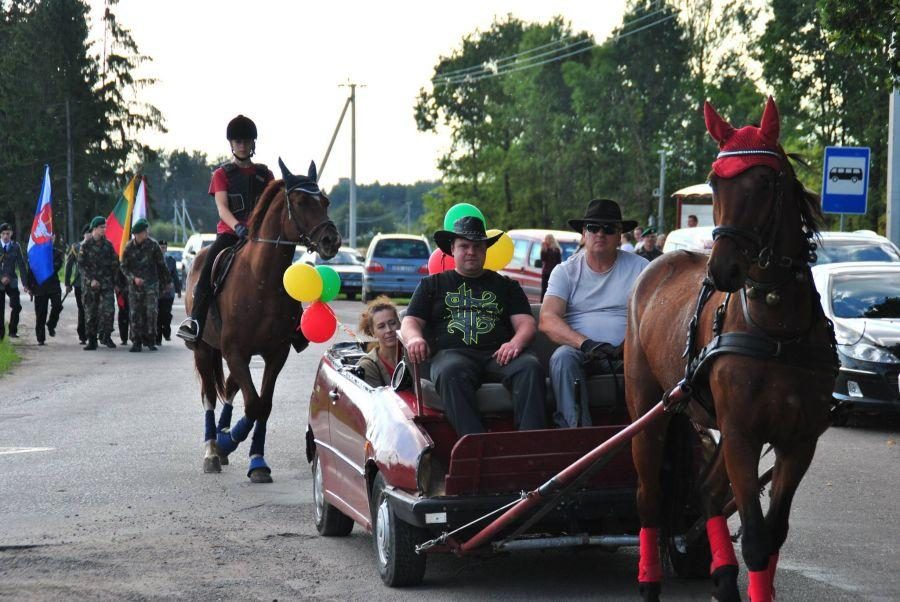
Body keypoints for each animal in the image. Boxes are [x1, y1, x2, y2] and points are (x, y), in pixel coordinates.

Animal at [185, 159, 340, 482]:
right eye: (301, 201)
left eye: (325, 201)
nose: (332, 240)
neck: (261, 279)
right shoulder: (235, 351)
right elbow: (254, 404)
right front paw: (227, 444)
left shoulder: (274, 353)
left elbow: (262, 405)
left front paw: (255, 460)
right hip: (205, 350)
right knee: (209, 395)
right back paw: (212, 450)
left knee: (230, 388)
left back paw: (223, 437)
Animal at [624, 96, 840, 596]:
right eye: (714, 181)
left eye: (764, 181)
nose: (722, 269)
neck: (778, 329)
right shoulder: (742, 434)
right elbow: (758, 538)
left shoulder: (798, 440)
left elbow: (773, 533)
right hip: (648, 406)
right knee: (649, 497)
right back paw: (649, 579)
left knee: (707, 493)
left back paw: (720, 576)